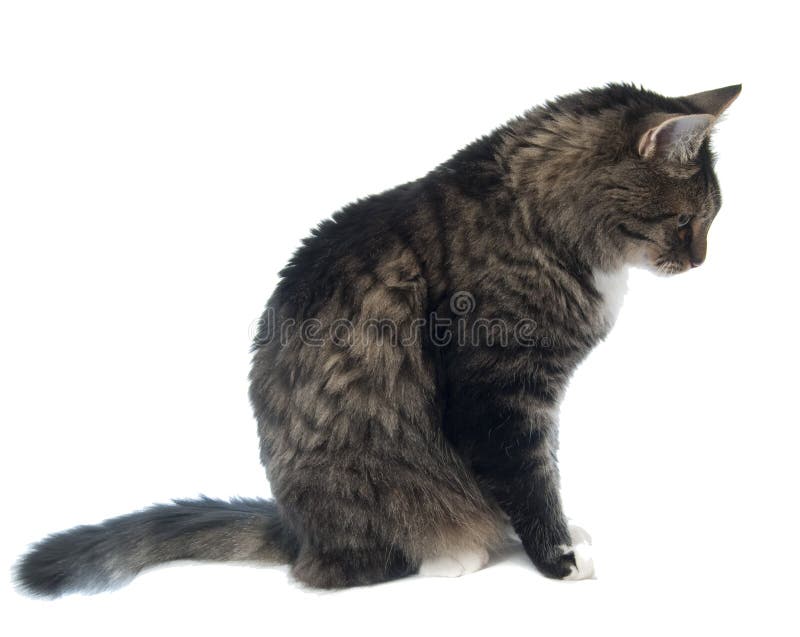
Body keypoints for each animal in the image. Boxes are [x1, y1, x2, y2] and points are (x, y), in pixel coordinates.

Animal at [15, 82, 740, 592]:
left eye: (709, 220)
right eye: (685, 221)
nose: (702, 261)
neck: (538, 216)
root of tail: (295, 529)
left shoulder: (535, 398)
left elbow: (543, 466)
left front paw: (557, 531)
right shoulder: (496, 392)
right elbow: (528, 474)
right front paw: (558, 558)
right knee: (345, 568)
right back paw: (451, 552)